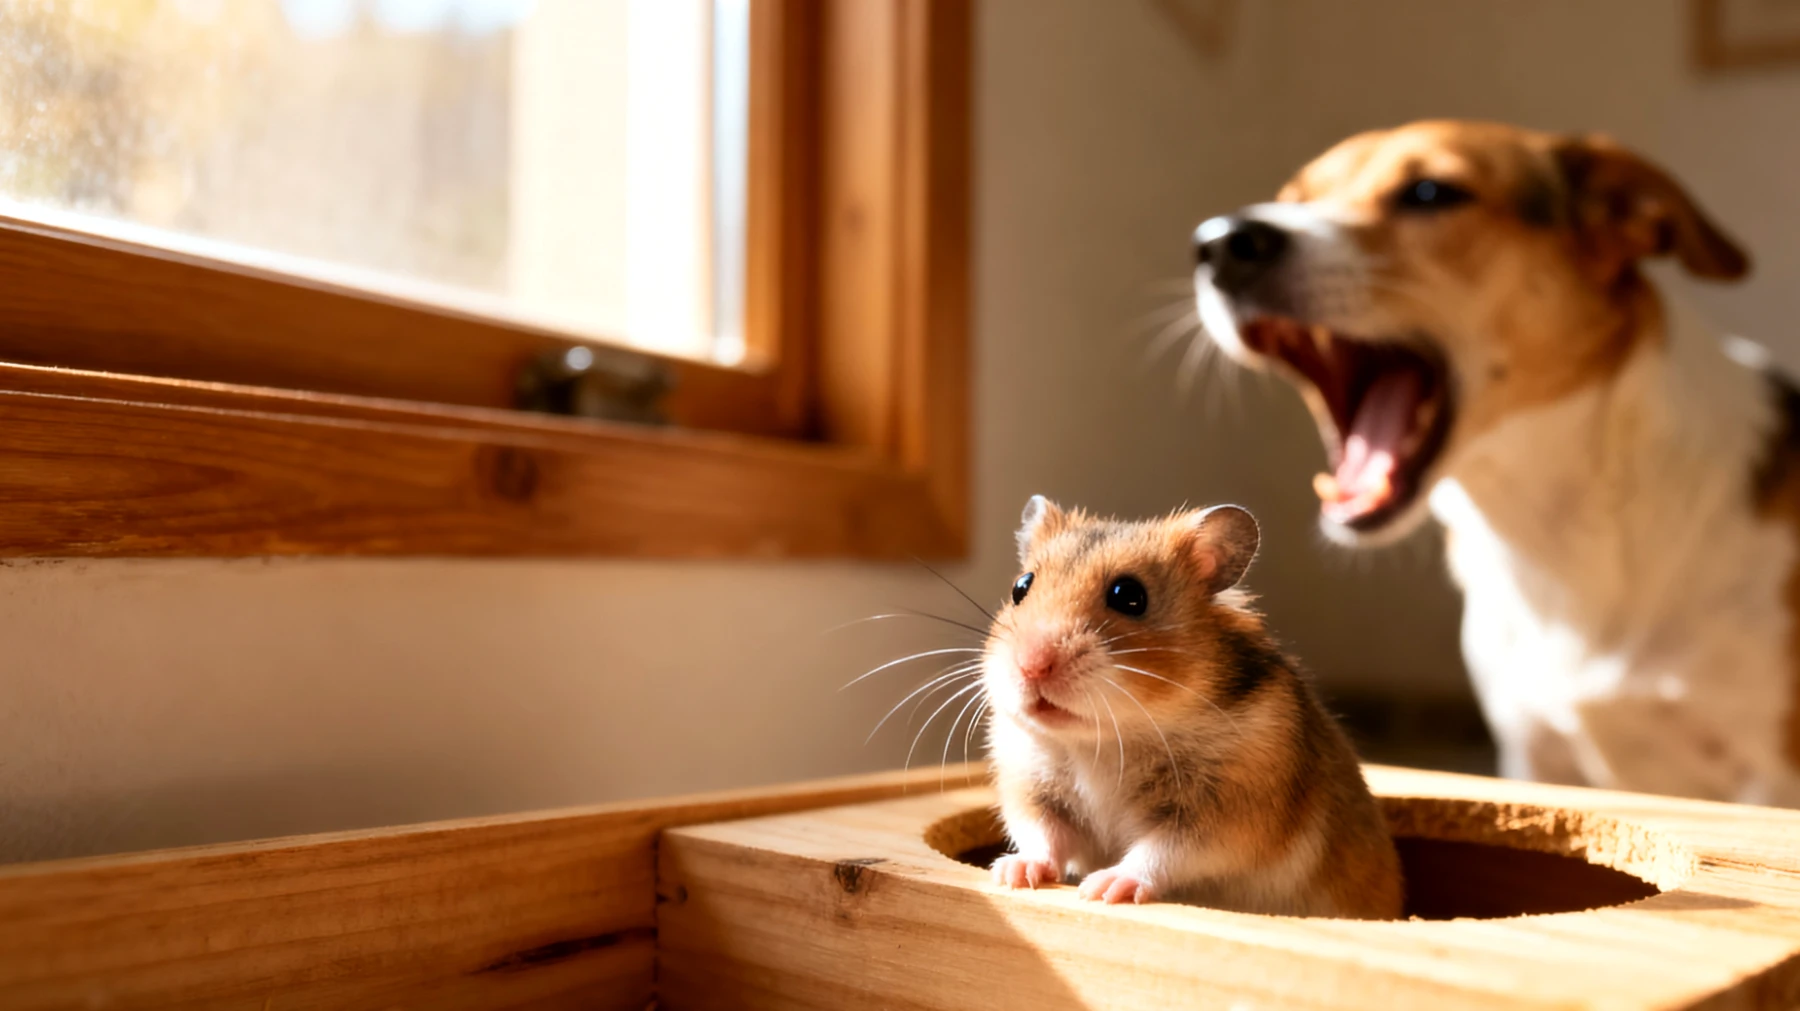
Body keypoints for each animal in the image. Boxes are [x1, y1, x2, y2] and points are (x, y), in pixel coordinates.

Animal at [983, 496, 1403, 919]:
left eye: (1128, 595)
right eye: (1021, 587)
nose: (1031, 665)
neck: (1108, 738)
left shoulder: (1226, 815)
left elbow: (1162, 851)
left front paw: (1103, 889)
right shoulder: (1031, 789)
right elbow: (1043, 834)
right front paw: (1010, 873)